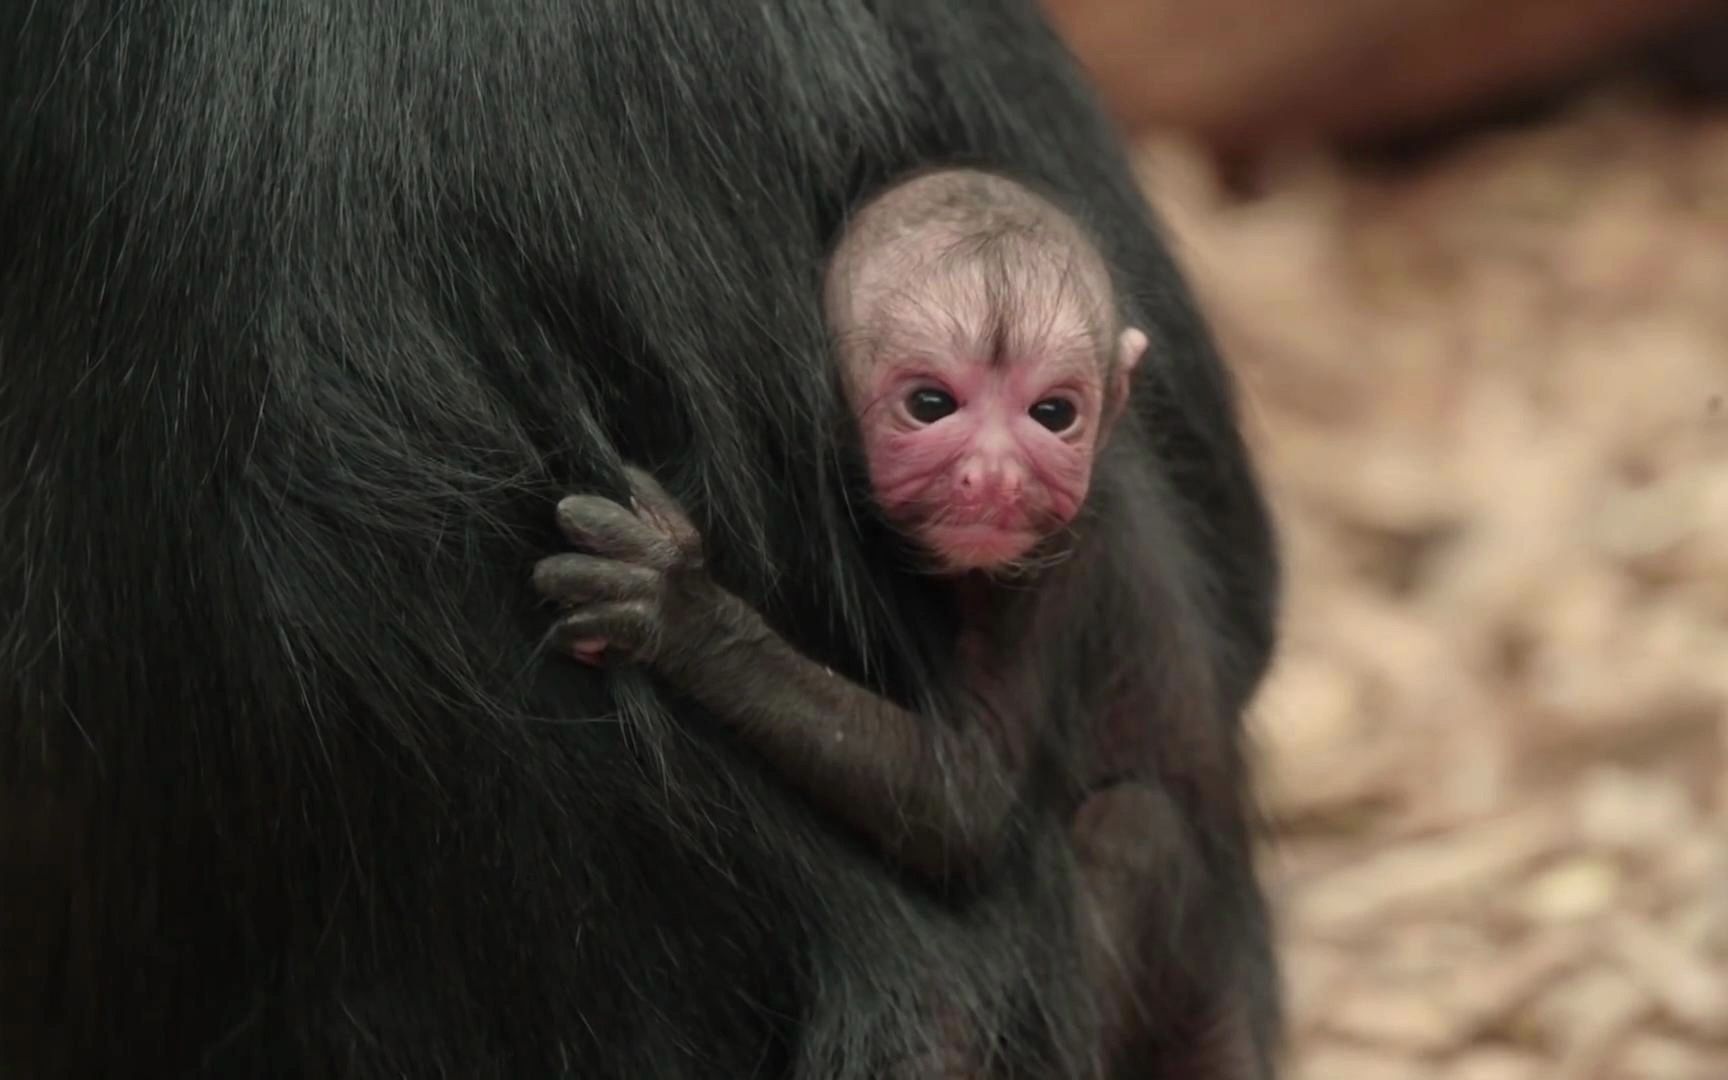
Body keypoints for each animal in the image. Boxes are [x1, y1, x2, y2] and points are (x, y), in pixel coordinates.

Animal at [532, 168, 1168, 1071]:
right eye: (932, 404)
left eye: (1054, 415)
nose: (997, 478)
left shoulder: (1057, 569)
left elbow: (968, 806)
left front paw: (682, 616)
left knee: (1133, 825)